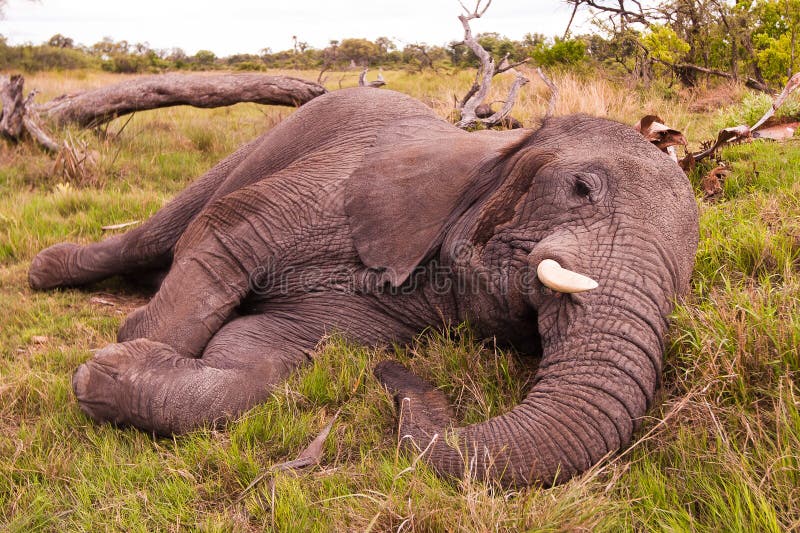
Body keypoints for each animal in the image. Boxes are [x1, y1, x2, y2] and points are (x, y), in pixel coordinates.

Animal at [28, 87, 699, 488]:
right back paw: (44, 271)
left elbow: (261, 360)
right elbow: (222, 239)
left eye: (687, 274)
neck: (495, 148)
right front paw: (126, 347)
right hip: (255, 149)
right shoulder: (326, 186)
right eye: (581, 188)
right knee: (158, 234)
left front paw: (114, 372)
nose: (393, 377)